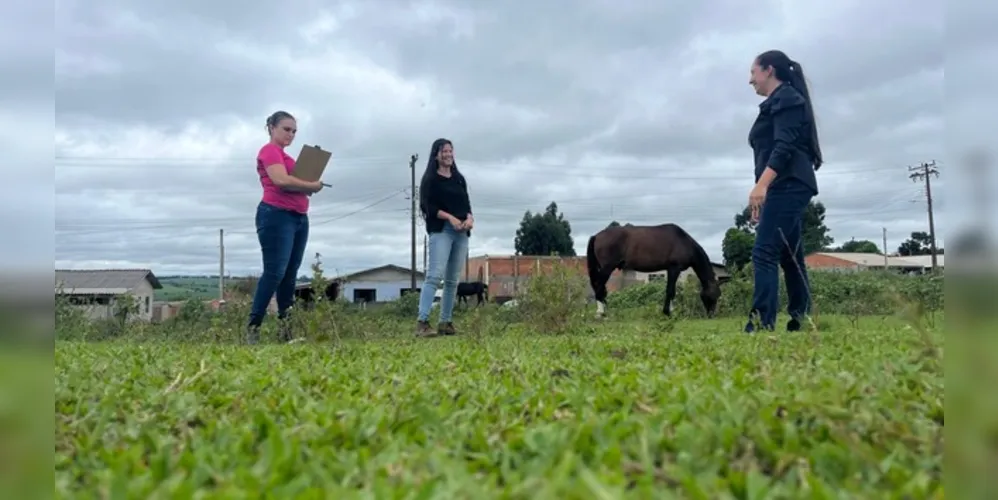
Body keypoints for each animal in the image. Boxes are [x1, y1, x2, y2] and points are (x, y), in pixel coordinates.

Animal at [584, 224, 720, 318]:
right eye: (716, 294)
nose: (711, 314)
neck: (683, 241)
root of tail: (596, 236)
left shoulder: (671, 270)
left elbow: (672, 291)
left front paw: (671, 311)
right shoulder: (674, 269)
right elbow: (670, 291)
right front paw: (667, 312)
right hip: (607, 268)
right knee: (599, 286)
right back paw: (601, 312)